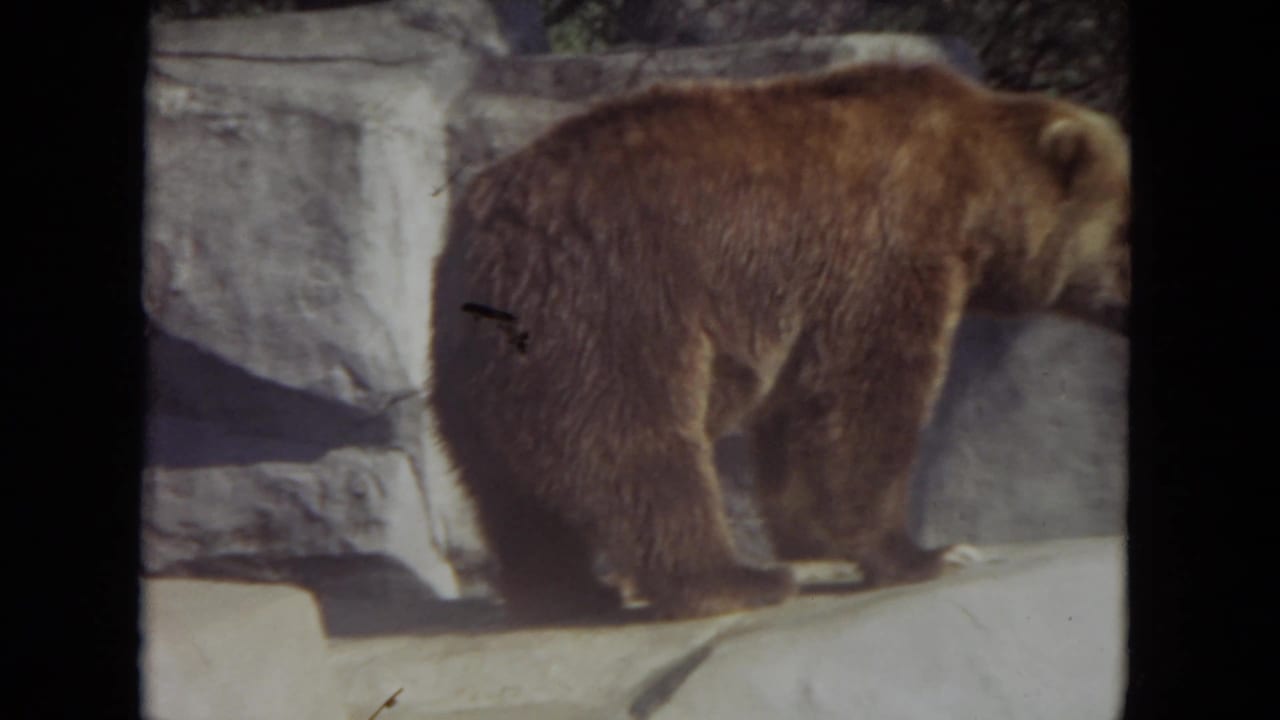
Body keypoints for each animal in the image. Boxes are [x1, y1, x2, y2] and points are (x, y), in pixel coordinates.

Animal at [429, 61, 1130, 624]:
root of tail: (494, 234)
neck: (977, 194)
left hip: (465, 355)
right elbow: (868, 396)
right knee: (638, 446)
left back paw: (568, 592)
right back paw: (734, 580)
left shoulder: (807, 306)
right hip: (615, 303)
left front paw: (815, 542)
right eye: (1128, 231)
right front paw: (927, 552)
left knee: (505, 489)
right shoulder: (886, 248)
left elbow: (798, 421)